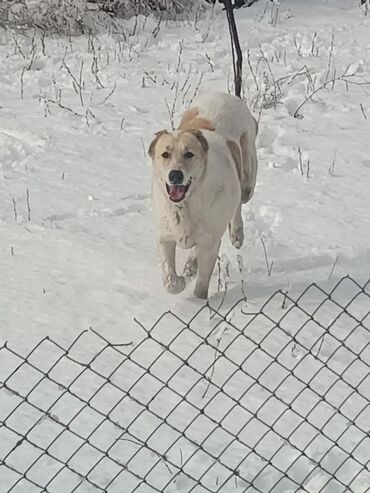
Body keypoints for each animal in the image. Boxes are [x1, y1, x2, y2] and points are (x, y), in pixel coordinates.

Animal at [147, 92, 258, 298]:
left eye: (189, 154)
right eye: (165, 154)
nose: (175, 175)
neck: (187, 204)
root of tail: (228, 95)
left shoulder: (210, 242)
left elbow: (202, 284)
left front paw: (198, 302)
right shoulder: (165, 236)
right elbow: (170, 281)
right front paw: (181, 280)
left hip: (248, 179)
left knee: (239, 200)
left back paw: (237, 234)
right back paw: (190, 266)